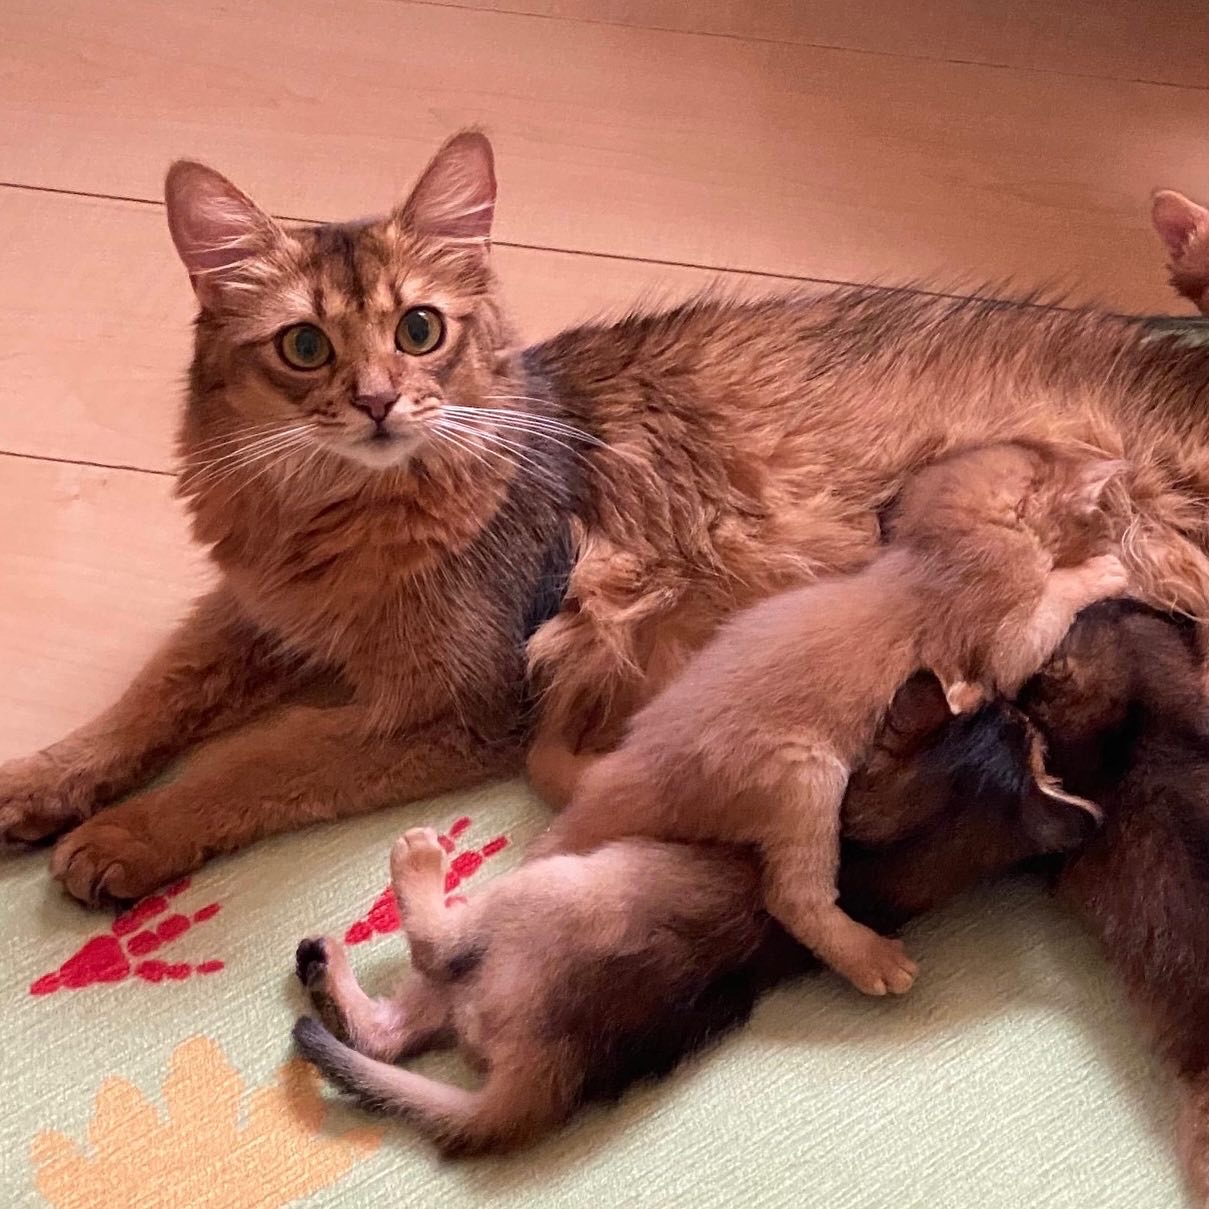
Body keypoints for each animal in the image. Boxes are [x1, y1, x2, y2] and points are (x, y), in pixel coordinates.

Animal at [539, 440, 1121, 996]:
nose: (1109, 532)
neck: (931, 547)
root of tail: (624, 774)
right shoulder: (1008, 636)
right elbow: (1050, 605)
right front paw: (1102, 571)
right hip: (805, 777)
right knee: (791, 897)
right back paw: (869, 958)